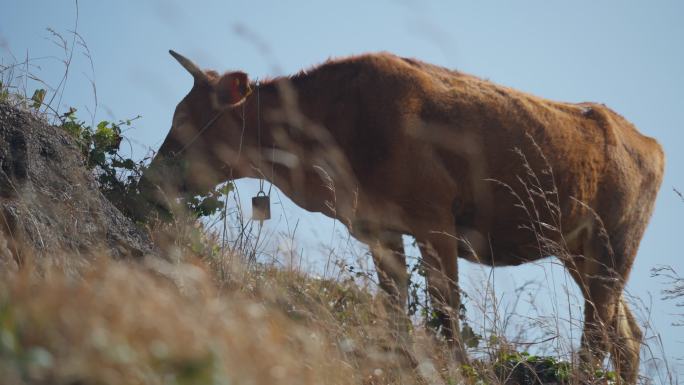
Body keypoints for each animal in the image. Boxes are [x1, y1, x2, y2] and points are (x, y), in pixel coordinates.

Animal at [143, 50, 664, 380]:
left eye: (184, 118)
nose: (153, 176)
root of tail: (647, 142)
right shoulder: (379, 229)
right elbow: (395, 312)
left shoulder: (436, 223)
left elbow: (447, 317)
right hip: (579, 252)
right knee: (626, 336)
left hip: (613, 245)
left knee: (597, 335)